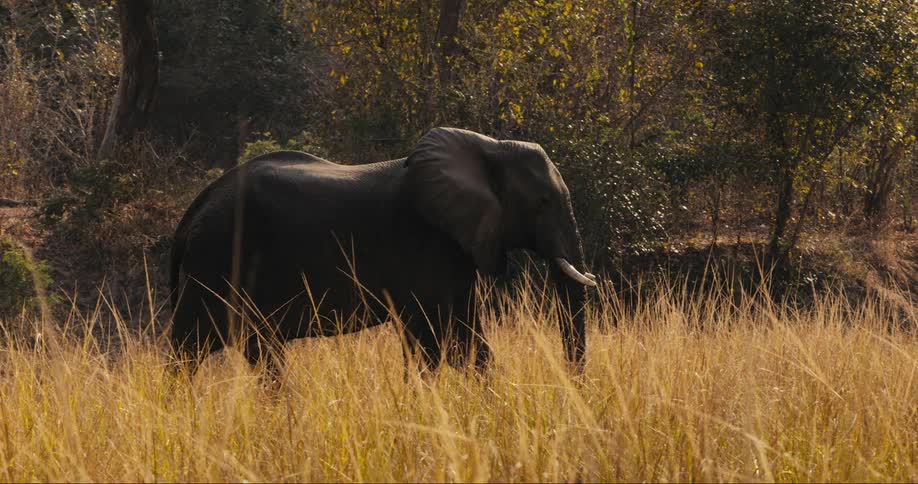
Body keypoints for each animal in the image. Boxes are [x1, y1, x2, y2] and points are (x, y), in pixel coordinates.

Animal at [169, 127, 596, 373]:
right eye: (543, 202)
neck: (487, 147)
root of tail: (194, 209)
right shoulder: (422, 244)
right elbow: (432, 337)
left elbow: (468, 335)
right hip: (215, 260)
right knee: (190, 349)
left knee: (259, 351)